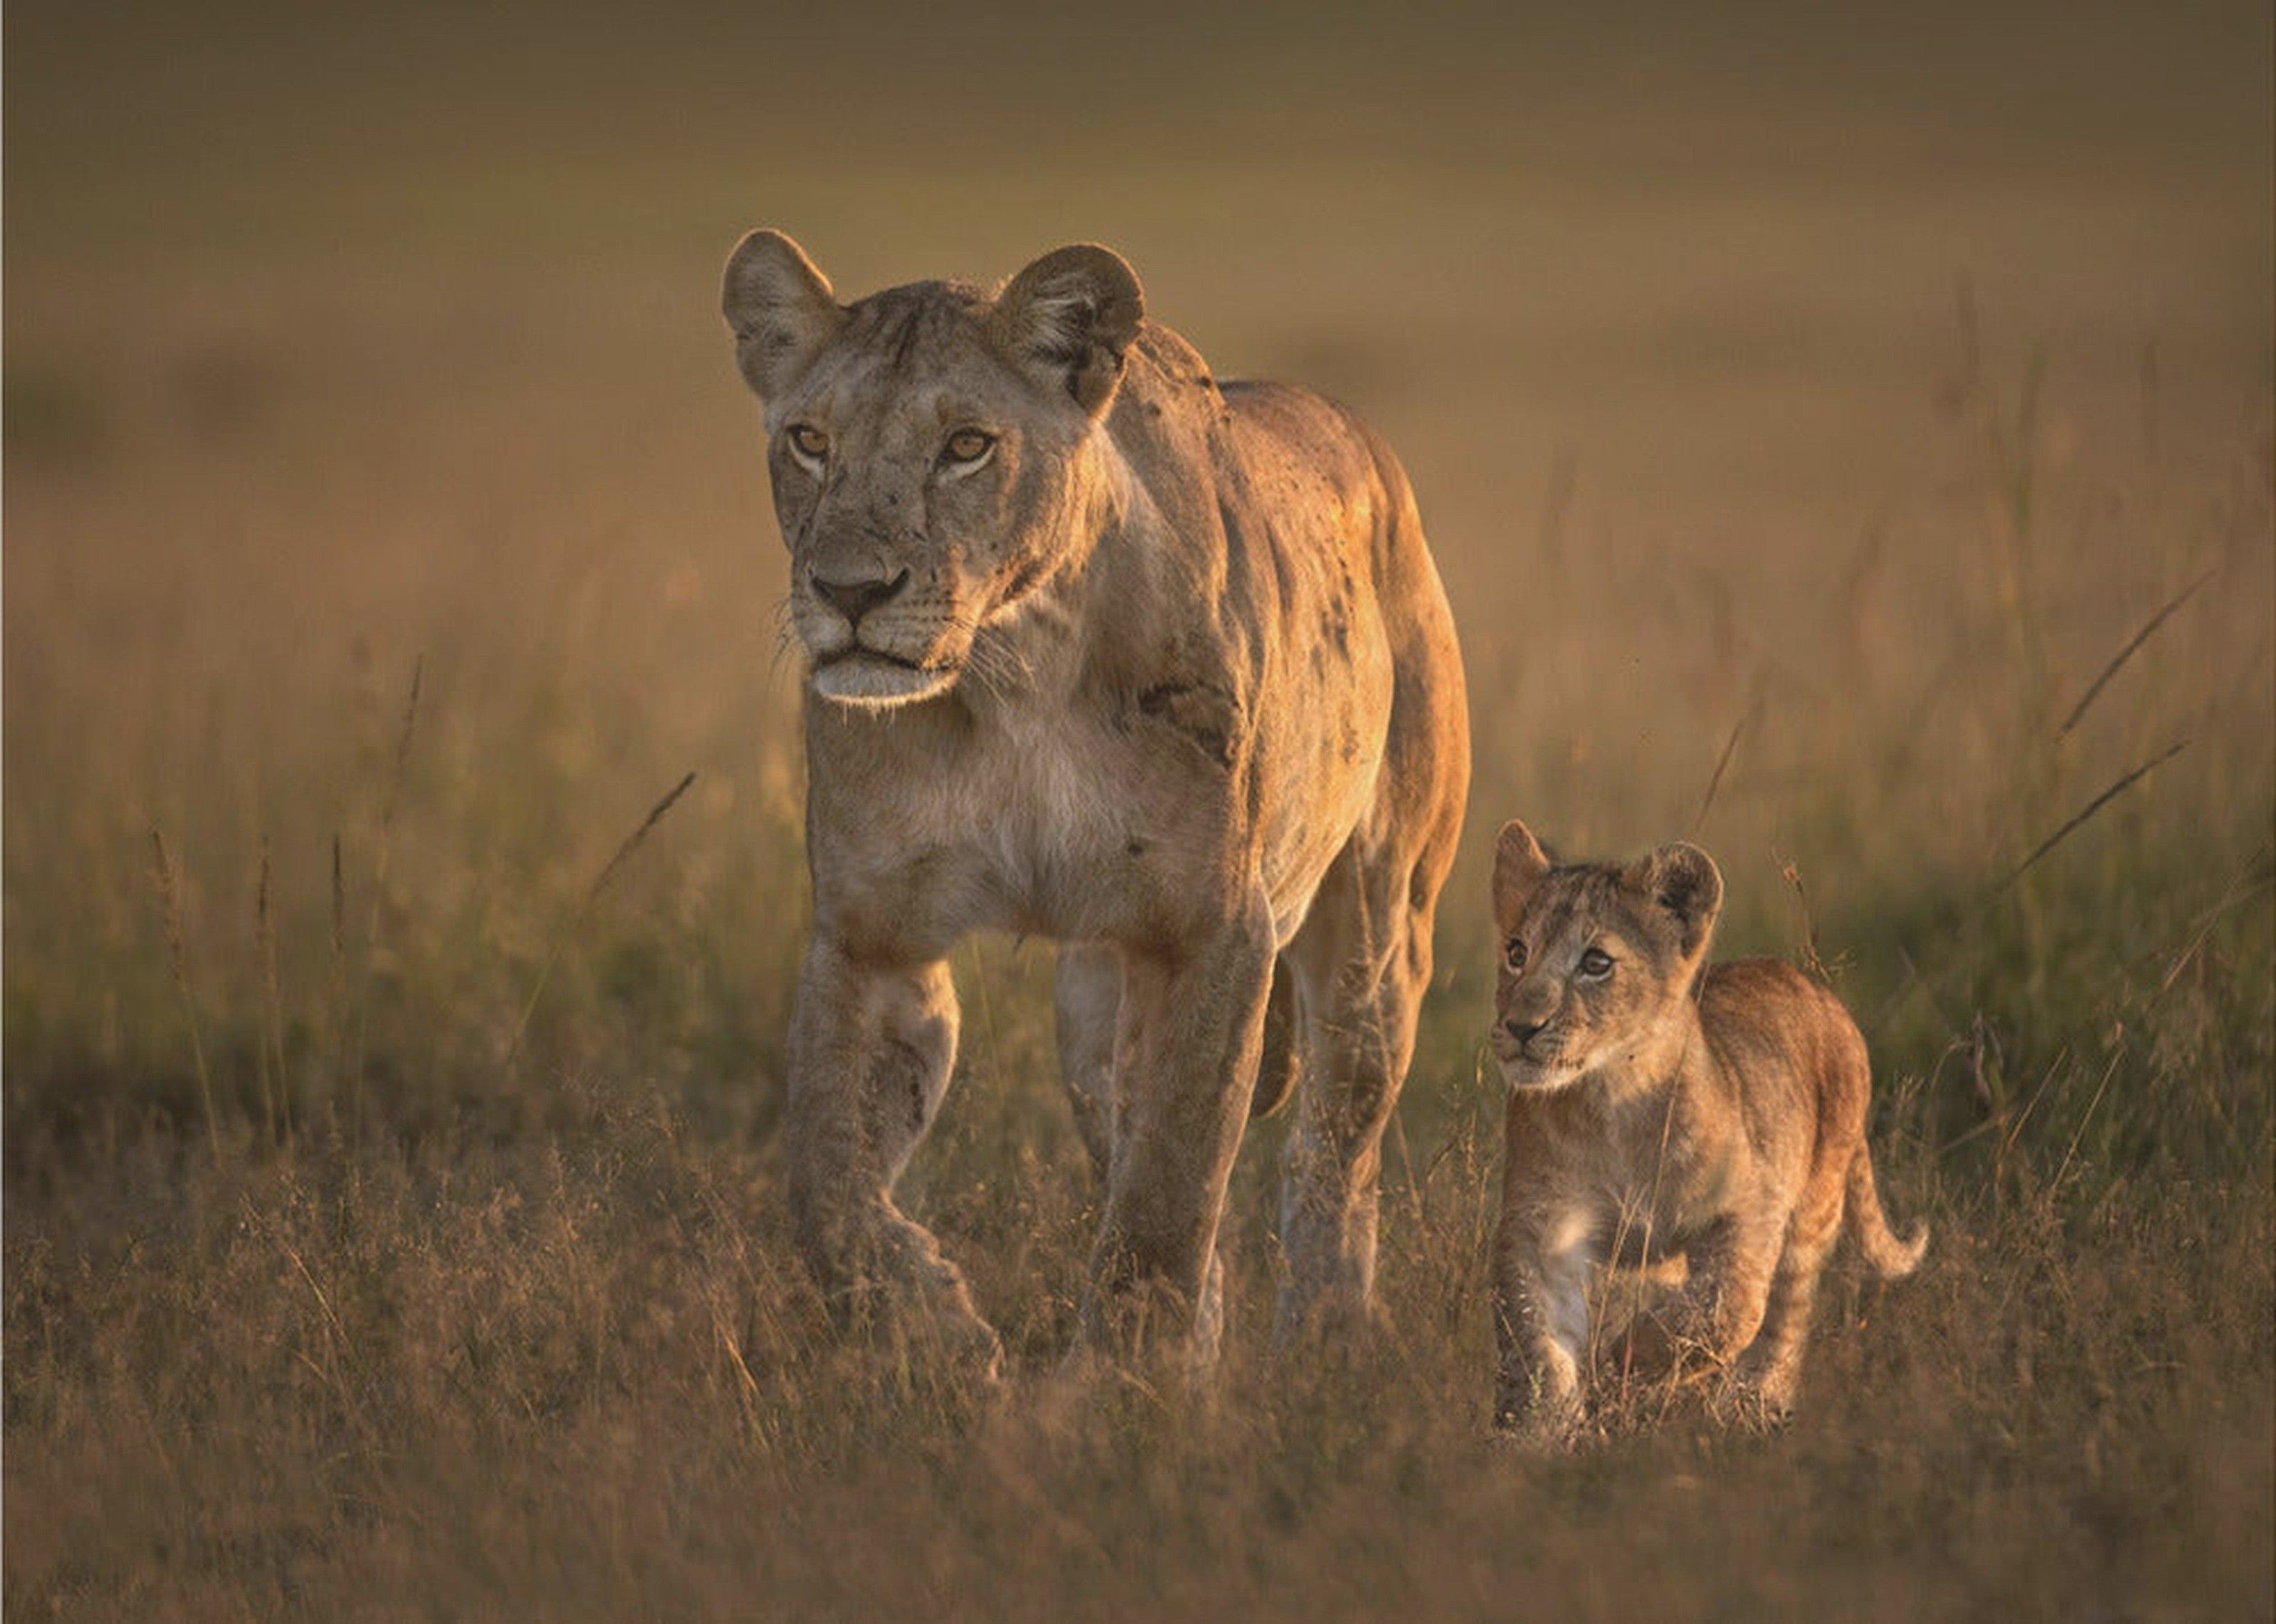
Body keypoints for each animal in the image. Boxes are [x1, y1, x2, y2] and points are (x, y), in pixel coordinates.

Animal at [720, 230, 1470, 1373]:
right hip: (1092, 1009)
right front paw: (939, 1331)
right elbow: (828, 1185)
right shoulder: (871, 937)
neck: (1011, 675)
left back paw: (1325, 1346)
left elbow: (1166, 1198)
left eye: (968, 447)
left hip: (1379, 930)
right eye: (809, 441)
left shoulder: (1213, 932)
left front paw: (1123, 1390)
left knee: (1336, 1150)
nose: (849, 592)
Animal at [1486, 819, 1925, 1435]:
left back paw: (1754, 1406)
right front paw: (1538, 1429)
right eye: (1517, 952)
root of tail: (1816, 989)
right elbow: (1536, 1339)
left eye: (1596, 963)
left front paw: (1629, 1356)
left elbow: (1730, 1305)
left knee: (1784, 1320)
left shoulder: (1750, 1206)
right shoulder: (1542, 1226)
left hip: (1814, 1207)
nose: (1521, 1027)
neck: (1613, 1101)